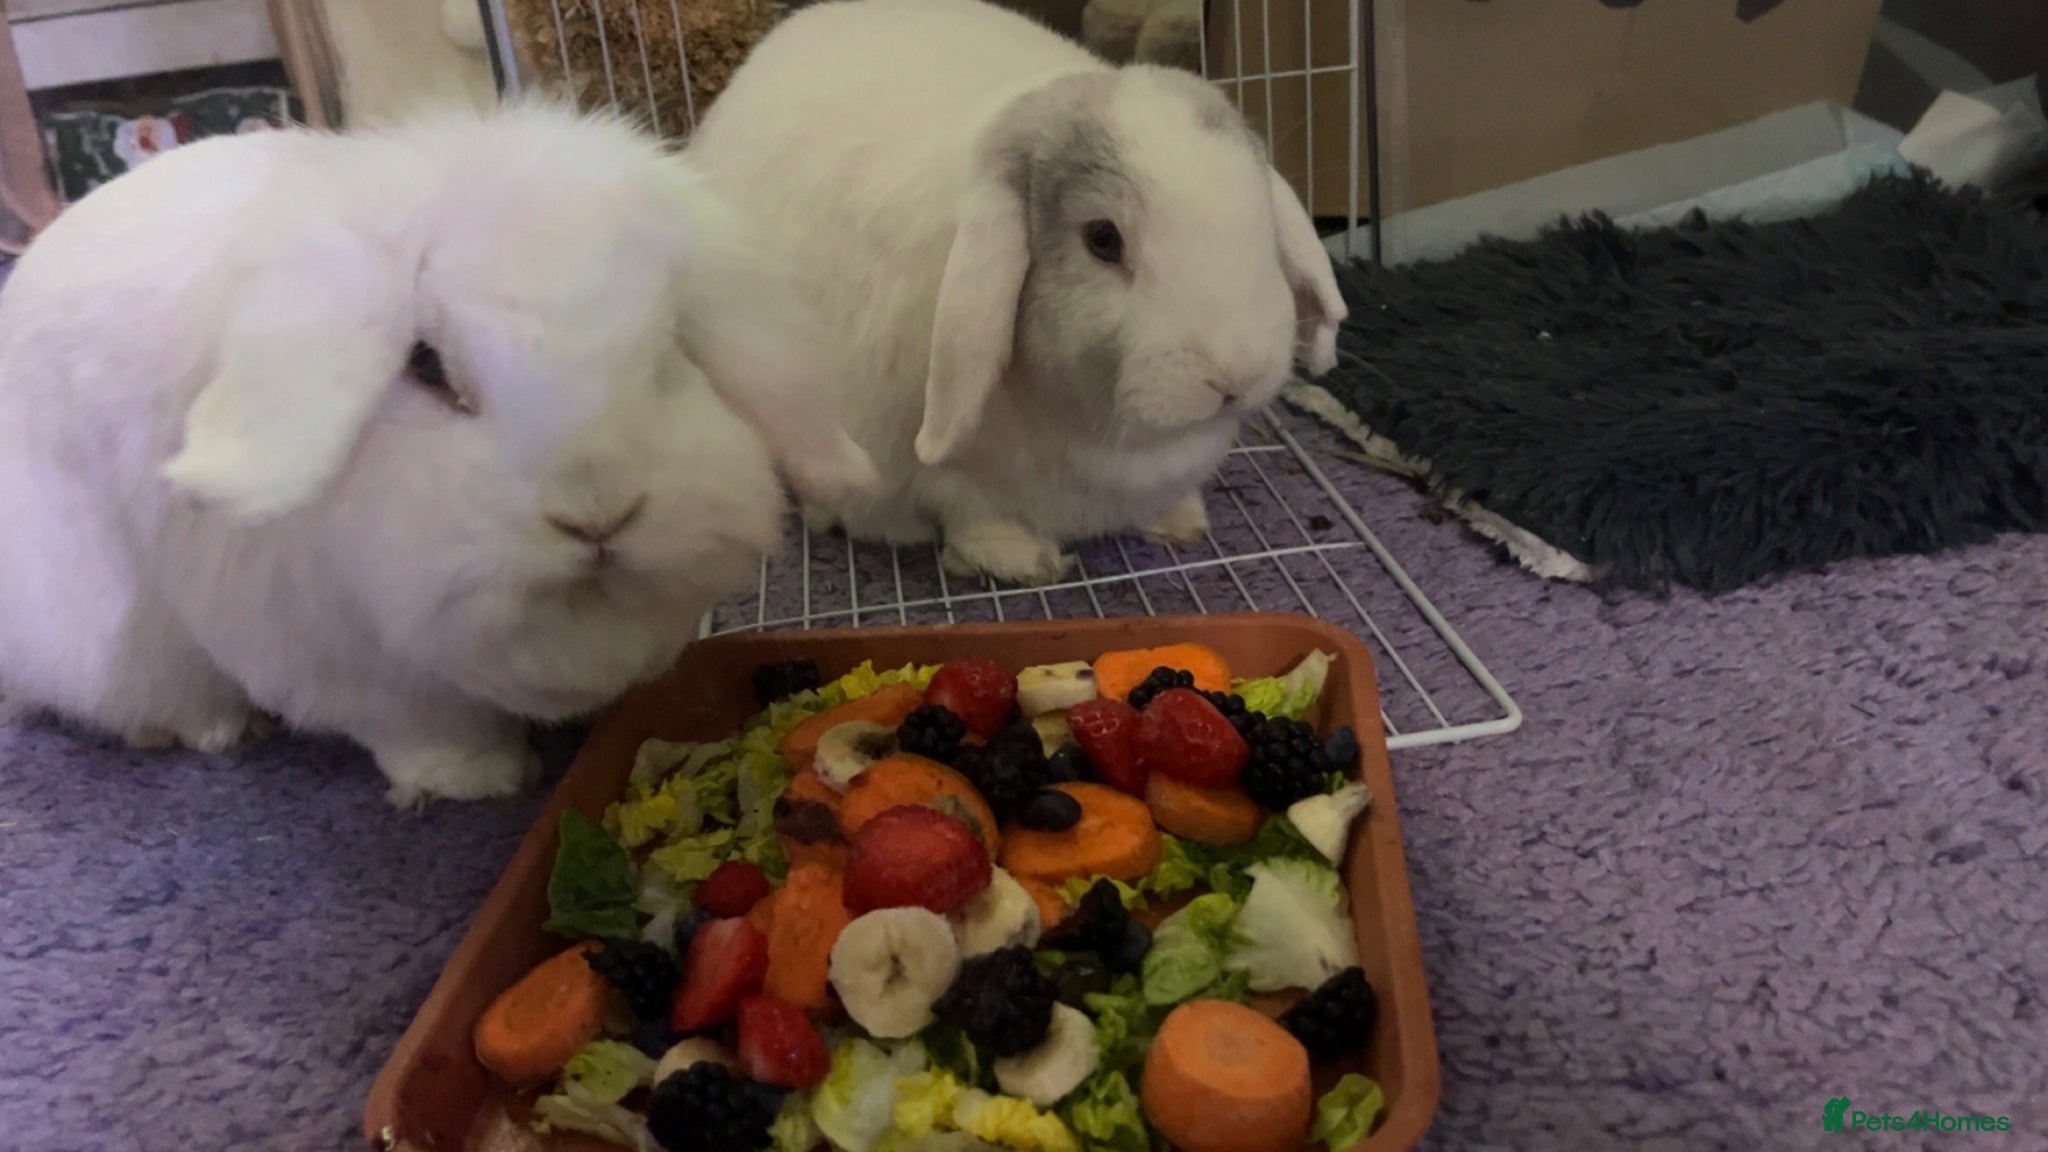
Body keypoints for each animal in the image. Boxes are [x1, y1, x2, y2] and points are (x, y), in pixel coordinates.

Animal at [0, 102, 875, 807]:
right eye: (425, 365)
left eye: (670, 348)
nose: (597, 515)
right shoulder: (343, 667)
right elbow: (423, 729)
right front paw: (481, 781)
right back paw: (208, 728)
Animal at [682, 0, 1346, 585]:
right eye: (1102, 239)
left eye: (1259, 211)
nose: (1236, 375)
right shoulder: (939, 480)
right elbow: (970, 515)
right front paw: (1023, 561)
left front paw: (1181, 523)